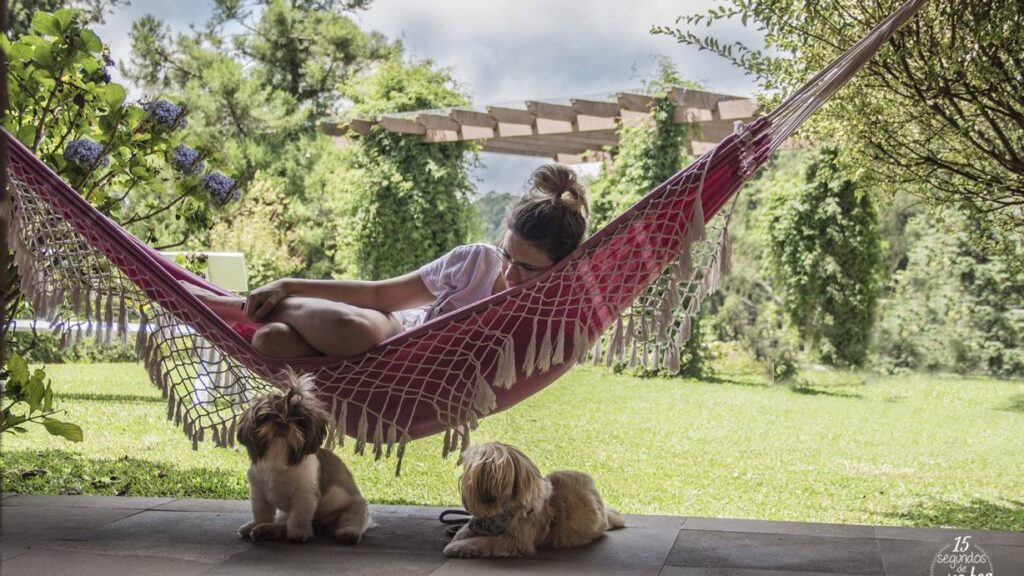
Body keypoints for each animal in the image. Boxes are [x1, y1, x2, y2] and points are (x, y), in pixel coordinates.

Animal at [237, 373, 370, 541]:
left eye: (298, 420)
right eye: (268, 416)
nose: (282, 422)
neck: (278, 461)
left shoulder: (304, 494)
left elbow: (299, 516)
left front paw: (298, 533)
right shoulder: (259, 494)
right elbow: (262, 514)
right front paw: (257, 524)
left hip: (354, 508)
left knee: (350, 520)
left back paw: (348, 533)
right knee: (282, 523)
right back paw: (265, 529)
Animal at [442, 438, 622, 557]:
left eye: (467, 468)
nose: (460, 478)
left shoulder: (515, 541)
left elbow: (484, 542)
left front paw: (457, 546)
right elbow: (466, 528)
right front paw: (458, 537)